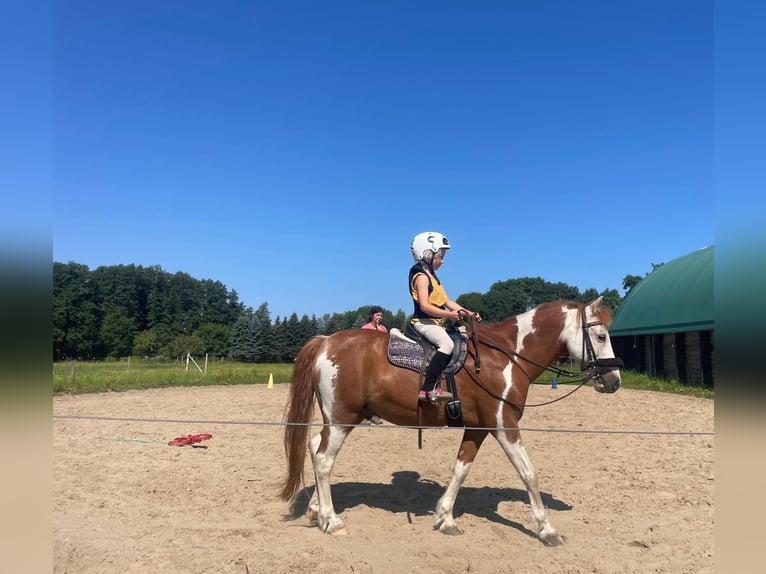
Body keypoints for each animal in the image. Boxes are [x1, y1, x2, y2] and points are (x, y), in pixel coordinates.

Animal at [280, 296, 622, 545]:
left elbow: (460, 469)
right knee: (324, 459)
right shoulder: (504, 425)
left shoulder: (479, 428)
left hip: (337, 420)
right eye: (601, 336)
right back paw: (332, 520)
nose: (615, 380)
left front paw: (445, 518)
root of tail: (326, 341)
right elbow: (529, 473)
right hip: (342, 419)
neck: (508, 356)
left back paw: (316, 510)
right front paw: (546, 529)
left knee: (314, 447)